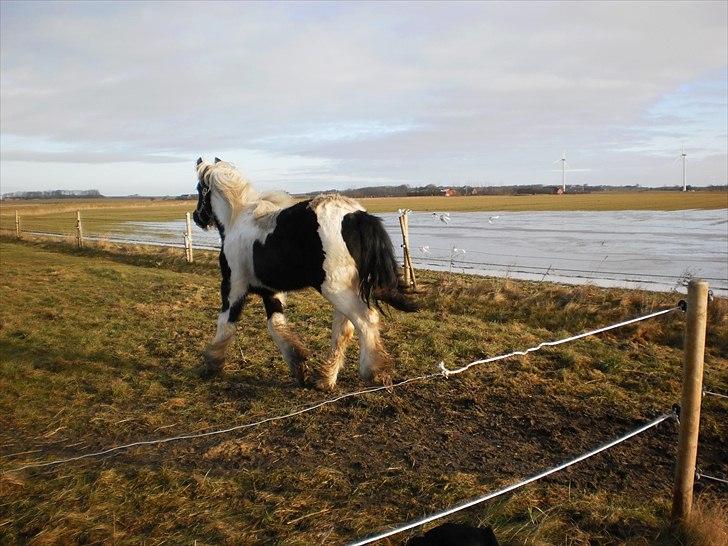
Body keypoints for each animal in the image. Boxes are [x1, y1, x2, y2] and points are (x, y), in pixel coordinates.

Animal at [193, 155, 418, 388]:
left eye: (200, 189)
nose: (197, 217)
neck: (237, 219)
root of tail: (356, 216)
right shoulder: (271, 291)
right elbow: (276, 325)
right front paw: (299, 366)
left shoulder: (233, 286)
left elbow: (226, 323)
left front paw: (212, 363)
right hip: (347, 289)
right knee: (344, 329)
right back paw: (325, 379)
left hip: (335, 290)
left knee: (366, 320)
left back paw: (373, 371)